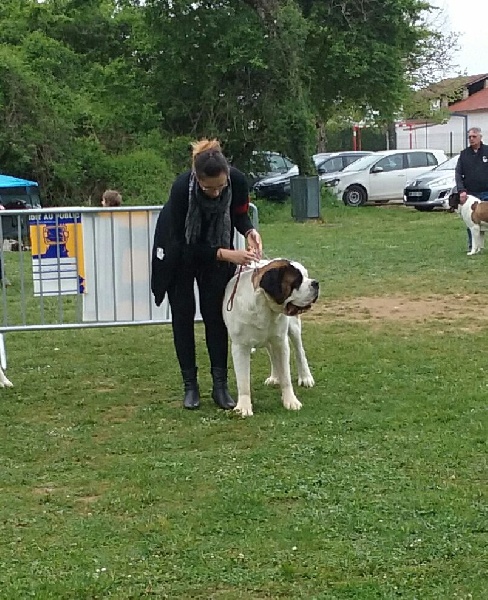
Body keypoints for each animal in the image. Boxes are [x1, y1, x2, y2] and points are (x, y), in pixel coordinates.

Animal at [223, 259, 319, 416]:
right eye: (297, 281)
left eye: (305, 276)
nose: (315, 283)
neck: (265, 307)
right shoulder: (240, 347)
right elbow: (243, 381)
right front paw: (243, 407)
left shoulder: (281, 342)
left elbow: (286, 376)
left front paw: (291, 401)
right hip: (268, 340)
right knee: (272, 355)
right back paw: (275, 377)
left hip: (293, 328)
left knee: (300, 351)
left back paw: (305, 377)